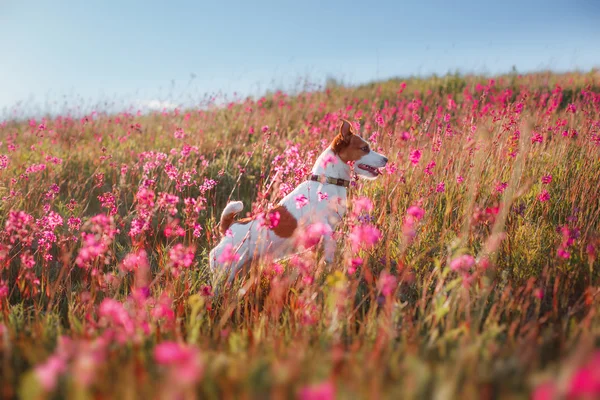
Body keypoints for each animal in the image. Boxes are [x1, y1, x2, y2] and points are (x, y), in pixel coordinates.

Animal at [210, 119, 390, 284]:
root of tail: (228, 228)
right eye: (364, 148)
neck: (328, 181)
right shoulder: (323, 226)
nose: (386, 159)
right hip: (225, 272)